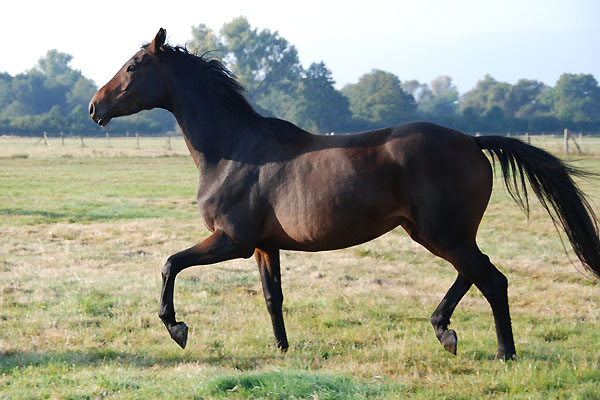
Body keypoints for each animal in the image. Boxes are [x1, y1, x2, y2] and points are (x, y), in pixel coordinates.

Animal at [89, 28, 600, 360]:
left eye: (133, 65)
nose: (95, 106)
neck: (234, 151)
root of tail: (472, 141)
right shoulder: (264, 246)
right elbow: (272, 297)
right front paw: (282, 349)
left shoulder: (231, 241)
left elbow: (170, 263)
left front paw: (176, 327)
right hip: (437, 234)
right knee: (476, 275)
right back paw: (445, 331)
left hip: (443, 234)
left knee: (492, 280)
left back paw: (499, 352)